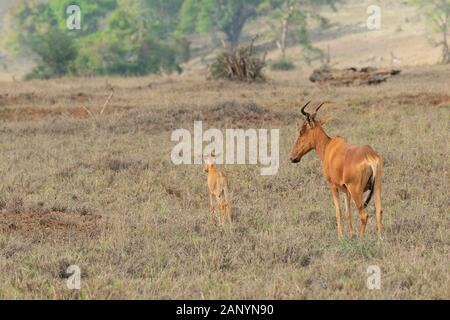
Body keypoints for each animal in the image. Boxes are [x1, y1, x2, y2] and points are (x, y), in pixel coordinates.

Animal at [292, 101, 384, 239]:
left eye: (302, 131)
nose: (293, 157)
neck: (329, 147)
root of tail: (370, 156)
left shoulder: (333, 186)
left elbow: (338, 211)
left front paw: (341, 236)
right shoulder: (346, 190)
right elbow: (347, 212)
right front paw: (350, 234)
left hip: (356, 191)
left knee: (364, 215)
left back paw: (360, 238)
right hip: (376, 186)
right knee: (379, 211)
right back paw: (379, 240)